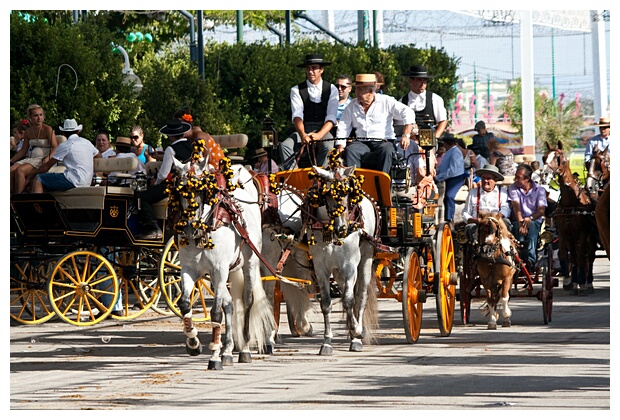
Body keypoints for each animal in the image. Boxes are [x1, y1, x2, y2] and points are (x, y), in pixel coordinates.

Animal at [170, 155, 276, 370]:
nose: (190, 228)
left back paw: (244, 348)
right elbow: (185, 304)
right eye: (179, 191)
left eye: (201, 190)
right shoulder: (189, 270)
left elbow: (215, 313)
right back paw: (227, 350)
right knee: (229, 304)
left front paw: (214, 357)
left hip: (249, 264)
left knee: (247, 300)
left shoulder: (219, 271)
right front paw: (193, 342)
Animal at [540, 141, 600, 292]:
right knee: (573, 255)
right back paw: (575, 279)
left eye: (558, 158)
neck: (570, 203)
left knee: (589, 256)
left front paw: (583, 283)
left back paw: (587, 281)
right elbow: (564, 254)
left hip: (591, 235)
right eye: (544, 157)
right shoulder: (563, 232)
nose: (544, 175)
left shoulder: (583, 232)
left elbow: (581, 257)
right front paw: (568, 280)